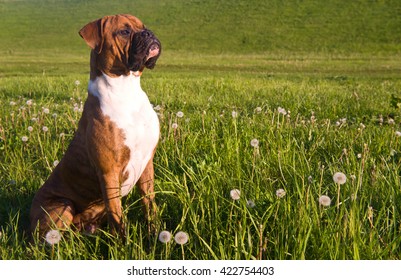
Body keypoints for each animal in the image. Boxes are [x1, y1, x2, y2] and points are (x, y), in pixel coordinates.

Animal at [29, 14, 161, 237]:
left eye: (143, 26)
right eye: (124, 32)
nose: (149, 33)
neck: (126, 89)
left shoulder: (146, 165)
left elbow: (149, 205)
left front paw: (156, 234)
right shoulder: (109, 173)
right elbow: (117, 216)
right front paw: (123, 243)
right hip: (62, 207)